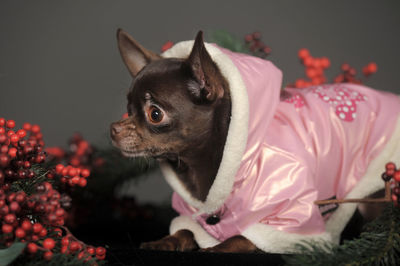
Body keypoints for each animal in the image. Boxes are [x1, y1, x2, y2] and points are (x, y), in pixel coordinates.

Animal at [111, 28, 400, 254]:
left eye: (155, 114)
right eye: (127, 108)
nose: (113, 129)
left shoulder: (293, 221)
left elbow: (243, 237)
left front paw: (216, 248)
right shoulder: (191, 212)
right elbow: (186, 230)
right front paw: (166, 240)